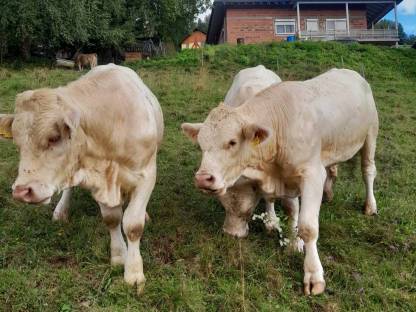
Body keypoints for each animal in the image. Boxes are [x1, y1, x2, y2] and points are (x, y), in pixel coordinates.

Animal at [0, 64, 163, 294]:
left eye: (54, 137)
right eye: (17, 142)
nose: (22, 192)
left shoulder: (146, 175)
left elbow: (133, 225)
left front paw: (134, 273)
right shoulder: (97, 180)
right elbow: (112, 219)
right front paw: (119, 256)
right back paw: (61, 211)